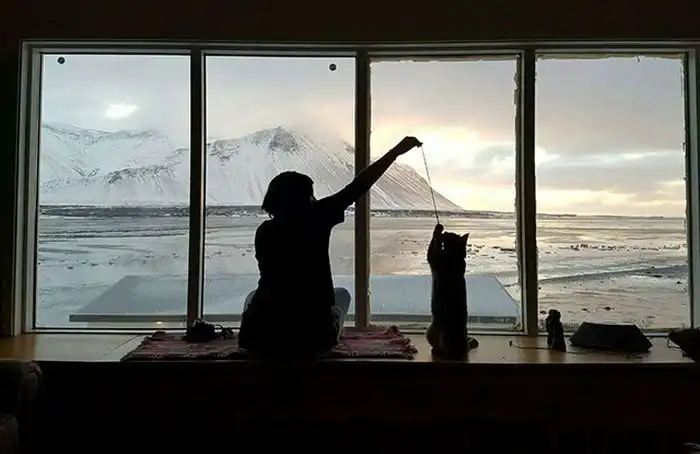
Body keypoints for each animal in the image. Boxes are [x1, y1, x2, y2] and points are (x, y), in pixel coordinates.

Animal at [426, 223, 479, 358]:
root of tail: (466, 345)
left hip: (447, 338)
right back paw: (436, 350)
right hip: (430, 331)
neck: (455, 256)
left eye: (450, 234)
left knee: (450, 352)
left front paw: (438, 230)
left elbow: (434, 244)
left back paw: (443, 353)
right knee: (436, 345)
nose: (445, 231)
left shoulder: (433, 259)